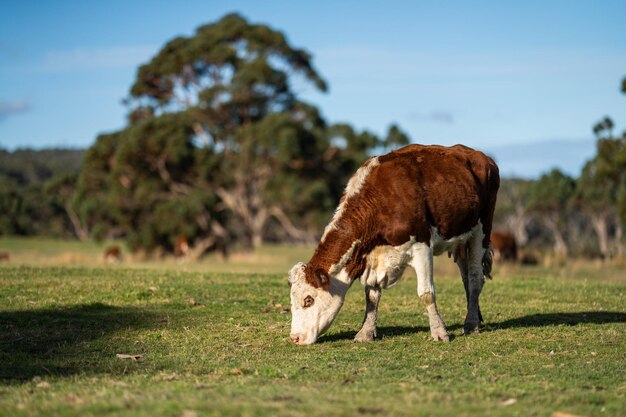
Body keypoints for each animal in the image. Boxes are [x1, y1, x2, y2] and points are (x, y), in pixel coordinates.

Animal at [288, 143, 498, 344]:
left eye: (308, 299)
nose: (295, 338)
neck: (379, 200)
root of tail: (483, 157)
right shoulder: (372, 257)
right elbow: (371, 296)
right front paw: (366, 332)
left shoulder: (422, 245)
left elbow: (426, 293)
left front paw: (439, 332)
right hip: (461, 239)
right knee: (466, 278)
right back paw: (475, 317)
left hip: (481, 231)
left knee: (475, 279)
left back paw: (471, 324)